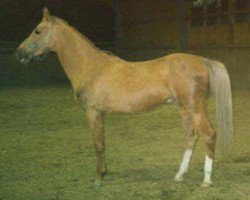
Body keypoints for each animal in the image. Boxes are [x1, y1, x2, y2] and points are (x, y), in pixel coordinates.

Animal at [16, 7, 234, 188]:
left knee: (208, 134)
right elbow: (102, 143)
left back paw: (206, 180)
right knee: (191, 136)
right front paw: (104, 173)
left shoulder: (92, 112)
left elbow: (98, 145)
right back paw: (180, 175)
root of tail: (202, 60)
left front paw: (99, 178)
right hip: (183, 108)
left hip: (195, 108)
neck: (92, 67)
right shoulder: (100, 113)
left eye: (37, 30)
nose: (19, 53)